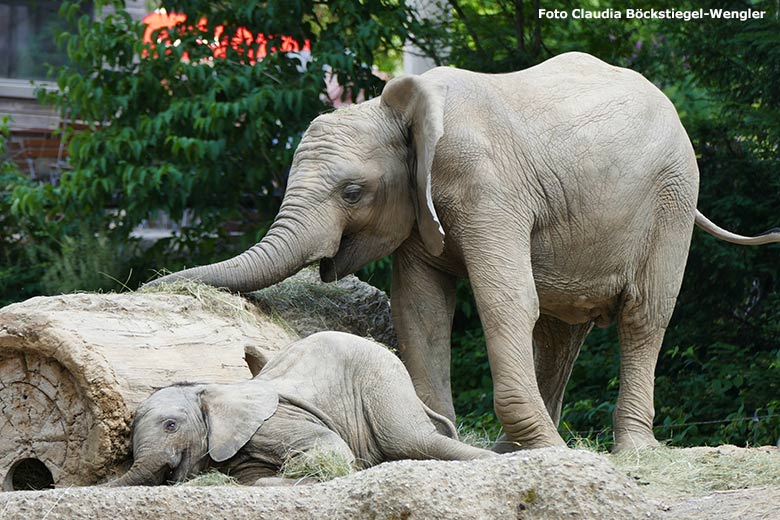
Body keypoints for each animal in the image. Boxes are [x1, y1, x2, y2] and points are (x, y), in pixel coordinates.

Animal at [108, 332, 494, 486]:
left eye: (171, 426)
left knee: (412, 440)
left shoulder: (272, 423)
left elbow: (331, 450)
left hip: (384, 383)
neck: (212, 390)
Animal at [152, 51, 780, 450]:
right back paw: (514, 448)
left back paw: (629, 451)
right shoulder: (421, 204)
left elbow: (506, 301)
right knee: (561, 327)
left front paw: (544, 453)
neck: (401, 108)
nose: (154, 283)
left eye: (352, 192)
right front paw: (444, 435)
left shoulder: (487, 184)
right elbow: (422, 311)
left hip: (673, 199)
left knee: (643, 317)